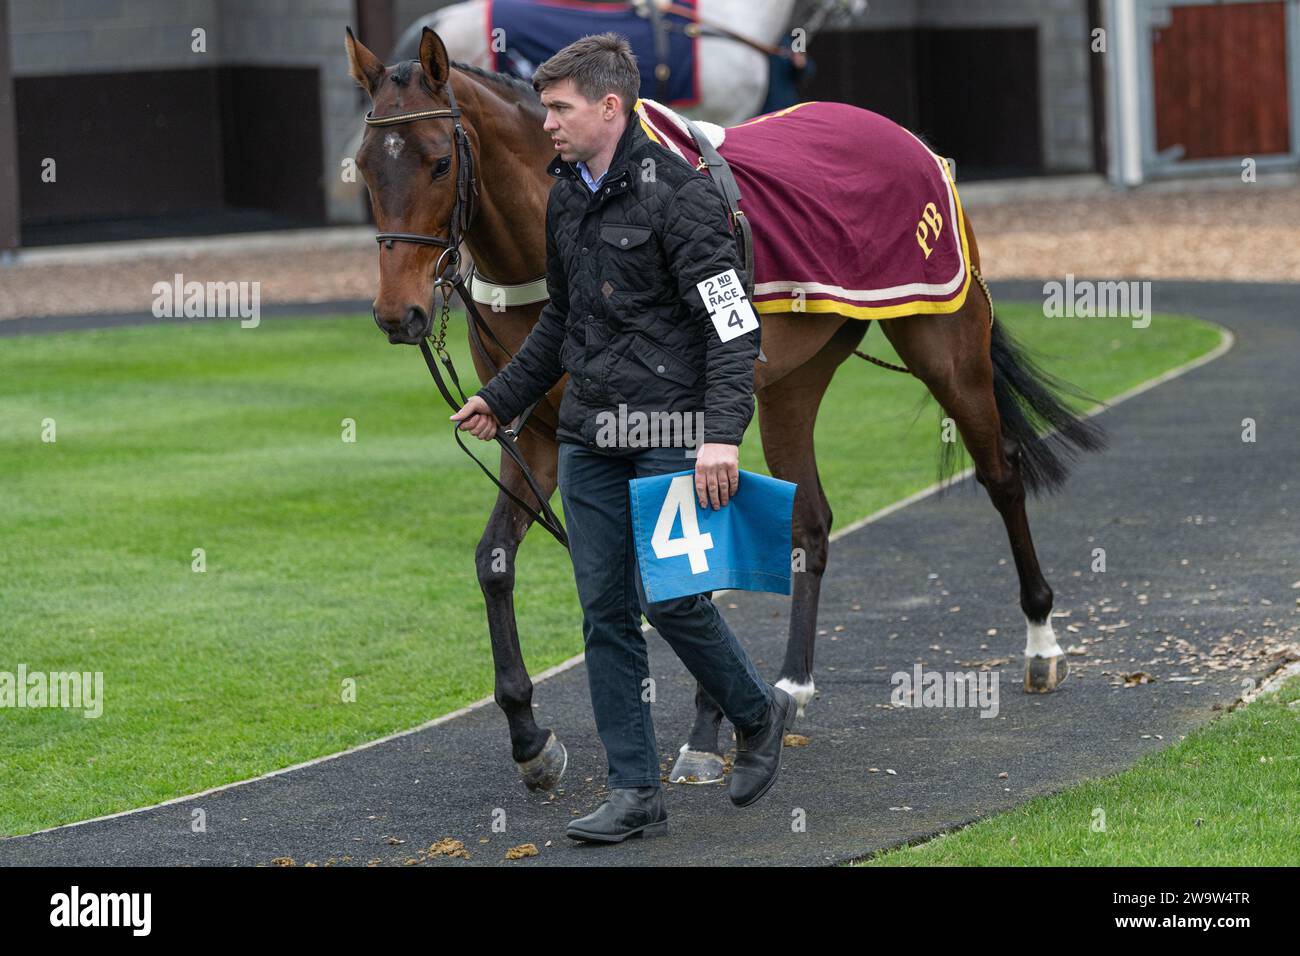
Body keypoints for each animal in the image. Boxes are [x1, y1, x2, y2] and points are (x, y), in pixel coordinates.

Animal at [345, 29, 1107, 790]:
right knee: (812, 520)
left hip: (947, 343)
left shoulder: (681, 427)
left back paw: (1042, 644)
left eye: (440, 163)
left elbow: (694, 561)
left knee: (1001, 472)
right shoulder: (535, 435)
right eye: (364, 169)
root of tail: (909, 140)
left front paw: (705, 737)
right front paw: (531, 737)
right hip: (792, 382)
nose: (397, 314)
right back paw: (792, 684)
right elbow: (495, 561)